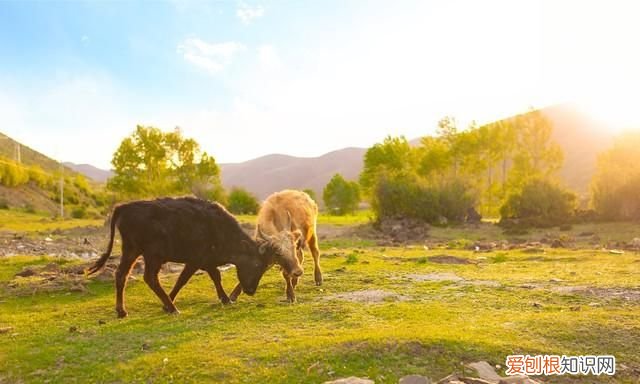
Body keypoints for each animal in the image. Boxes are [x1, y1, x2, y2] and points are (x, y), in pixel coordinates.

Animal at [86, 196, 274, 316]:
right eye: (257, 264)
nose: (250, 291)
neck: (220, 229)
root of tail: (123, 207)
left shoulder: (205, 261)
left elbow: (210, 277)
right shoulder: (196, 260)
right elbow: (189, 279)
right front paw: (226, 299)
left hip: (132, 251)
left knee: (121, 275)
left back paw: (122, 311)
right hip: (152, 256)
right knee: (150, 278)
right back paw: (173, 308)